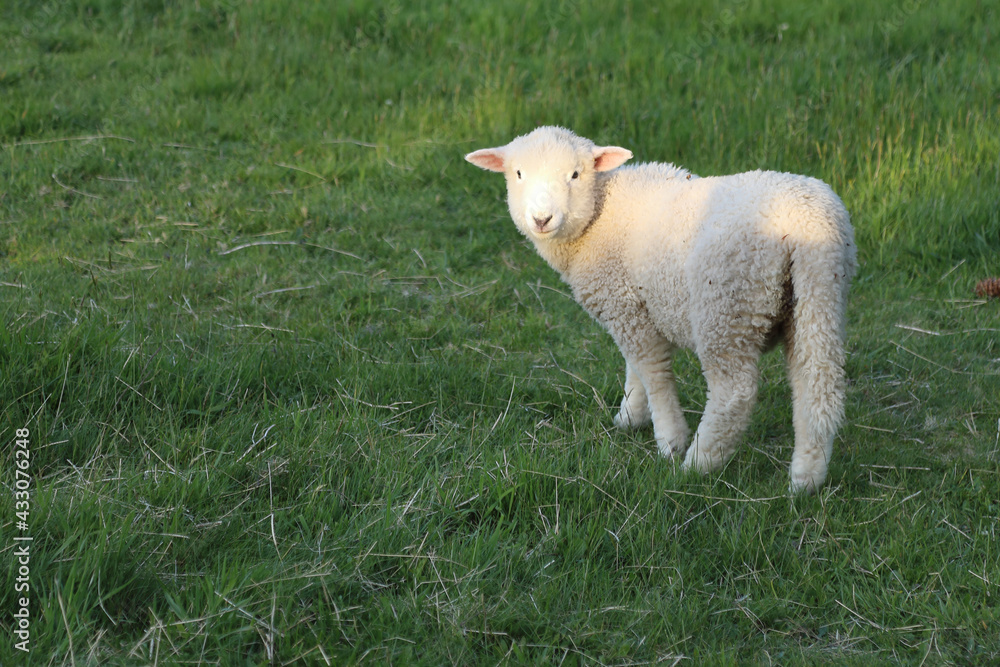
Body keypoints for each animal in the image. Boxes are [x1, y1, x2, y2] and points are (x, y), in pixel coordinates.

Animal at [466, 126, 856, 493]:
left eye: (575, 174)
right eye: (518, 173)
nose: (542, 219)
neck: (599, 213)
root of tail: (805, 221)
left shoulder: (623, 303)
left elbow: (651, 369)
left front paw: (667, 439)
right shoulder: (631, 305)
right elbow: (634, 366)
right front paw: (631, 416)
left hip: (727, 304)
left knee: (735, 392)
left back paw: (698, 463)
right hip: (820, 297)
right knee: (817, 383)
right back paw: (806, 478)